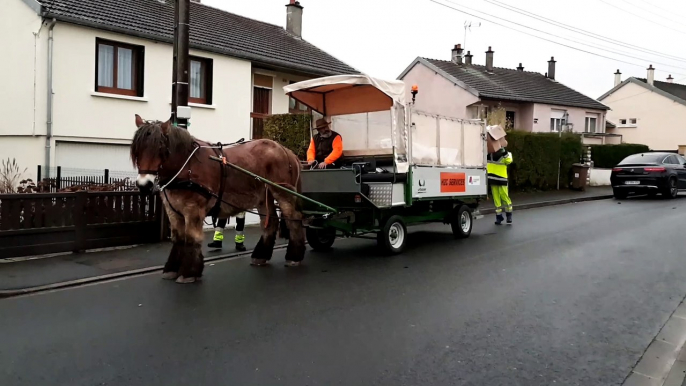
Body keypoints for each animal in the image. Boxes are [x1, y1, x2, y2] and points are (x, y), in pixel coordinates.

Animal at [131, 114, 306, 284]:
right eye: (137, 150)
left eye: (161, 149)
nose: (144, 185)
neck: (186, 166)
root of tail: (287, 151)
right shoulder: (172, 210)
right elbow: (178, 238)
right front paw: (172, 268)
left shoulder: (193, 209)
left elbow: (192, 238)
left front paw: (189, 272)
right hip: (263, 197)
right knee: (270, 223)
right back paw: (261, 255)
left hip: (282, 192)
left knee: (294, 218)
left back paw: (294, 256)